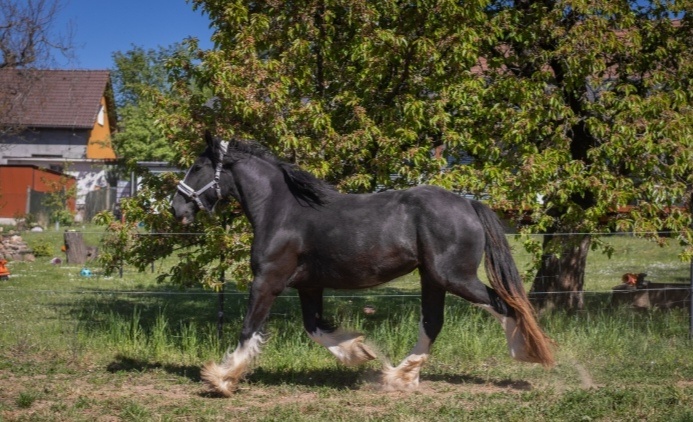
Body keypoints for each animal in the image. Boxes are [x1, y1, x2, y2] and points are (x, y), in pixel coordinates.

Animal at [171, 132, 554, 396]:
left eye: (197, 167)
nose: (177, 208)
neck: (283, 212)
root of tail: (469, 204)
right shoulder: (308, 285)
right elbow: (315, 328)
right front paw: (360, 351)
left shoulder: (268, 280)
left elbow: (249, 328)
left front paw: (222, 379)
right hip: (433, 278)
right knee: (433, 322)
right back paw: (399, 376)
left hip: (453, 277)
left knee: (504, 303)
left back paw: (525, 352)